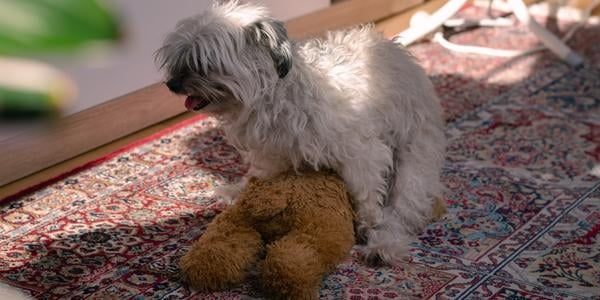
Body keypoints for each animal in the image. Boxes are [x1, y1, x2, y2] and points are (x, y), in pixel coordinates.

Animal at [155, 1, 446, 264]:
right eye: (178, 58)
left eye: (202, 61)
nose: (172, 84)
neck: (276, 94)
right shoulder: (271, 156)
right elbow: (261, 178)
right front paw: (240, 191)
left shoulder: (361, 154)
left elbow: (367, 195)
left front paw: (369, 224)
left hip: (413, 159)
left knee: (405, 207)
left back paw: (383, 246)